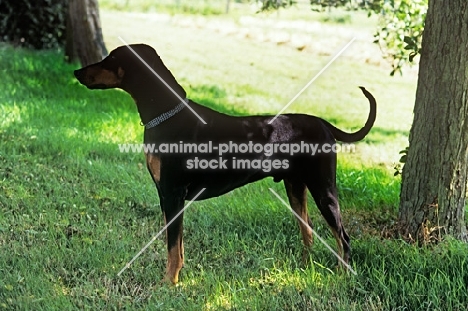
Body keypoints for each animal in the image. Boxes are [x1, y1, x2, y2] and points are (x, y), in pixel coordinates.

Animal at [74, 44, 376, 286]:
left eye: (111, 58)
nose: (77, 72)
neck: (166, 115)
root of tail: (325, 125)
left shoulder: (172, 194)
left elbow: (172, 246)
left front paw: (168, 283)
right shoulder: (168, 196)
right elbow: (177, 245)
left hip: (323, 189)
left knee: (343, 237)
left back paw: (342, 275)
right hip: (295, 187)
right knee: (308, 231)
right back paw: (304, 268)